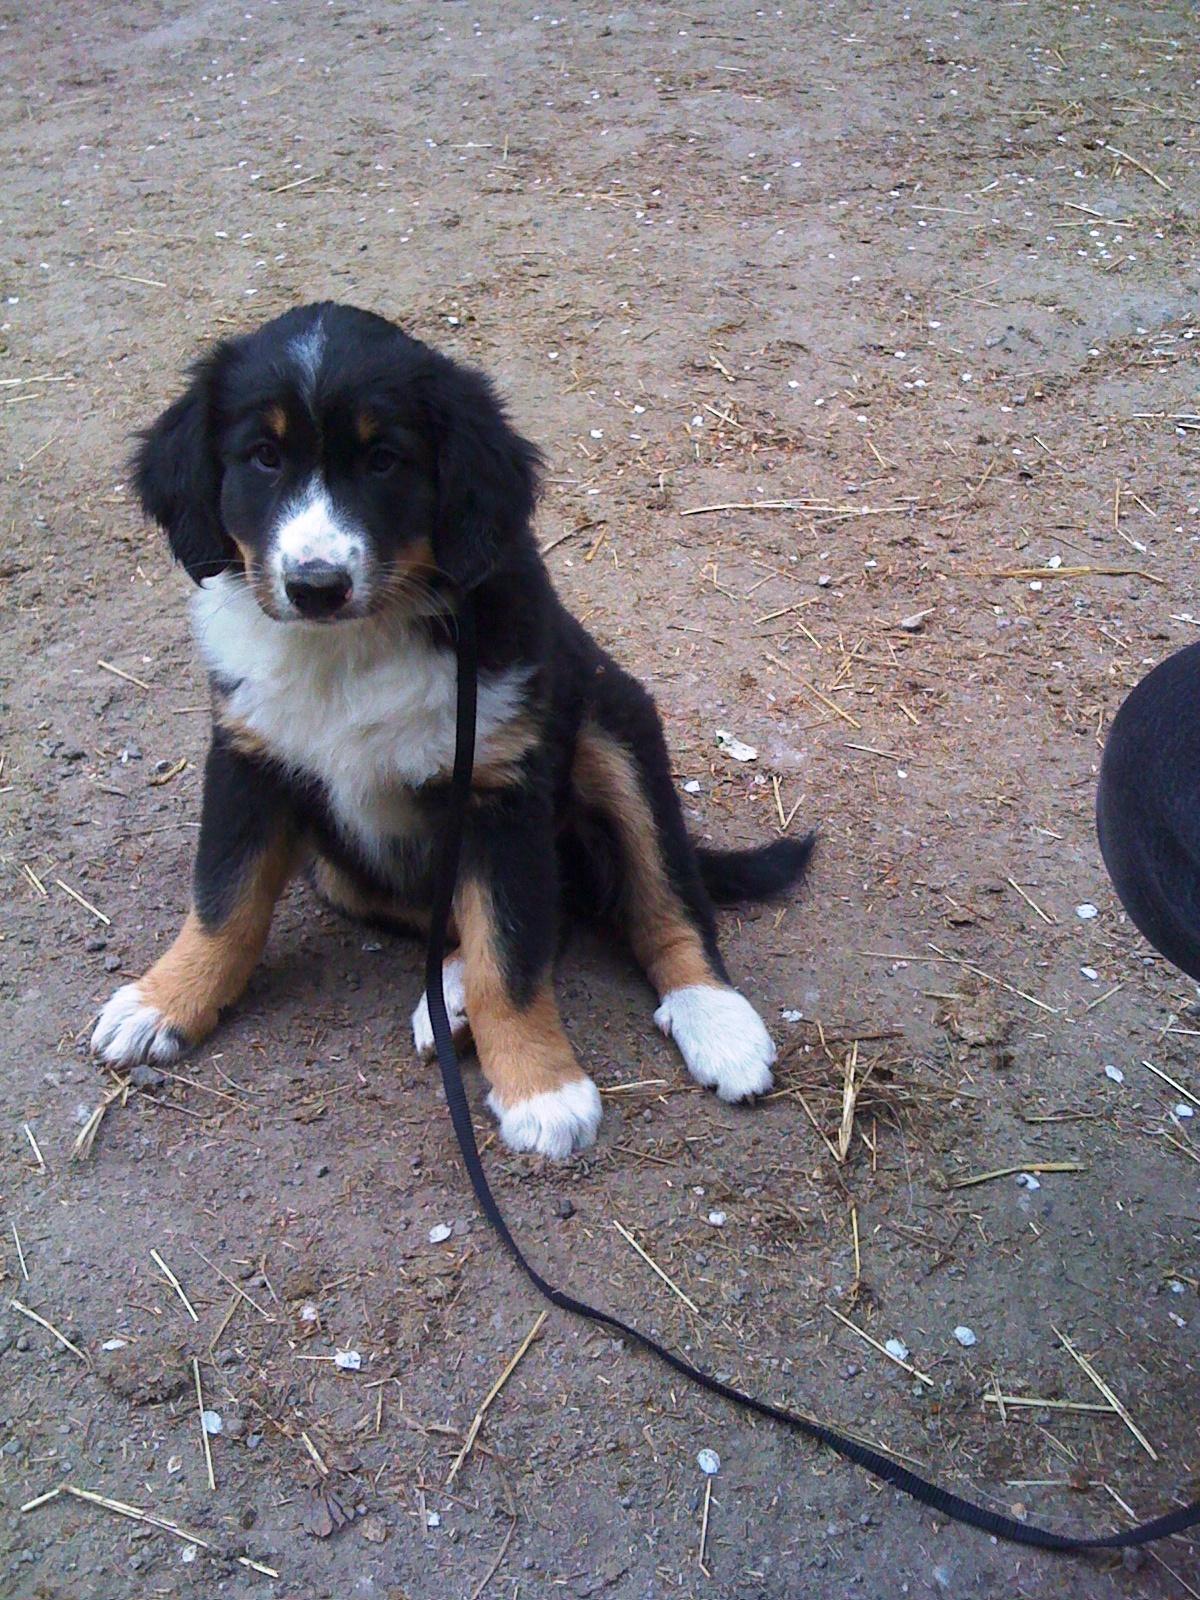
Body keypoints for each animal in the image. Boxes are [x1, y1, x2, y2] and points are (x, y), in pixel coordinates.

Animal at [94, 302, 819, 1152]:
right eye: (263, 457)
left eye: (384, 460)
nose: (316, 586)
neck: (353, 647)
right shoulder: (250, 758)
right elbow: (223, 901)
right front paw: (164, 1001)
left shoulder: (499, 786)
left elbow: (510, 952)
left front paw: (542, 1086)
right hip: (340, 871)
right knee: (507, 917)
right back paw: (451, 996)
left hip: (614, 730)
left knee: (660, 897)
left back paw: (719, 1023)